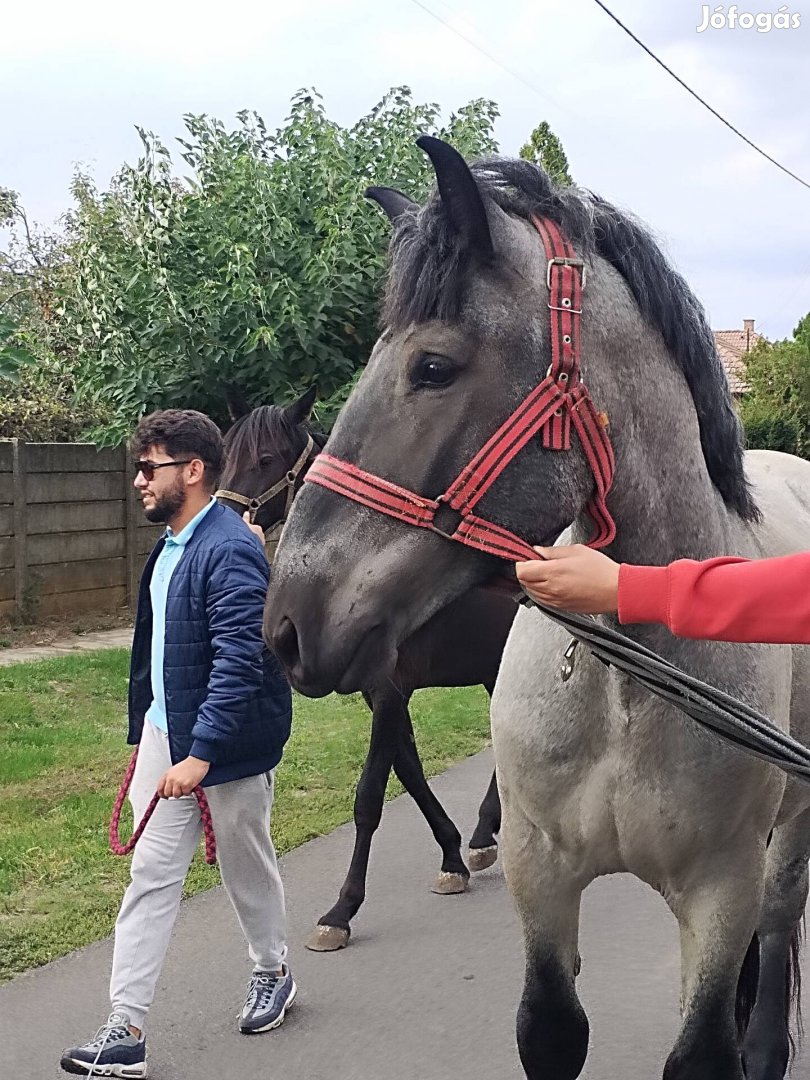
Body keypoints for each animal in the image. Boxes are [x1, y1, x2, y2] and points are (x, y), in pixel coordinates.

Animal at [217, 393, 514, 950]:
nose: (221, 518)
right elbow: (410, 773)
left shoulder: (390, 691)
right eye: (225, 457)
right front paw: (451, 857)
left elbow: (370, 795)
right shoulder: (381, 696)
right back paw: (484, 834)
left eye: (264, 458)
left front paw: (342, 910)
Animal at [264, 137, 810, 1080]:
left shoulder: (721, 889)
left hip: (788, 846)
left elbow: (705, 1046)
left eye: (433, 367)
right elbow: (549, 1029)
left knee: (775, 943)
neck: (626, 691)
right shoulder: (542, 875)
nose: (289, 624)